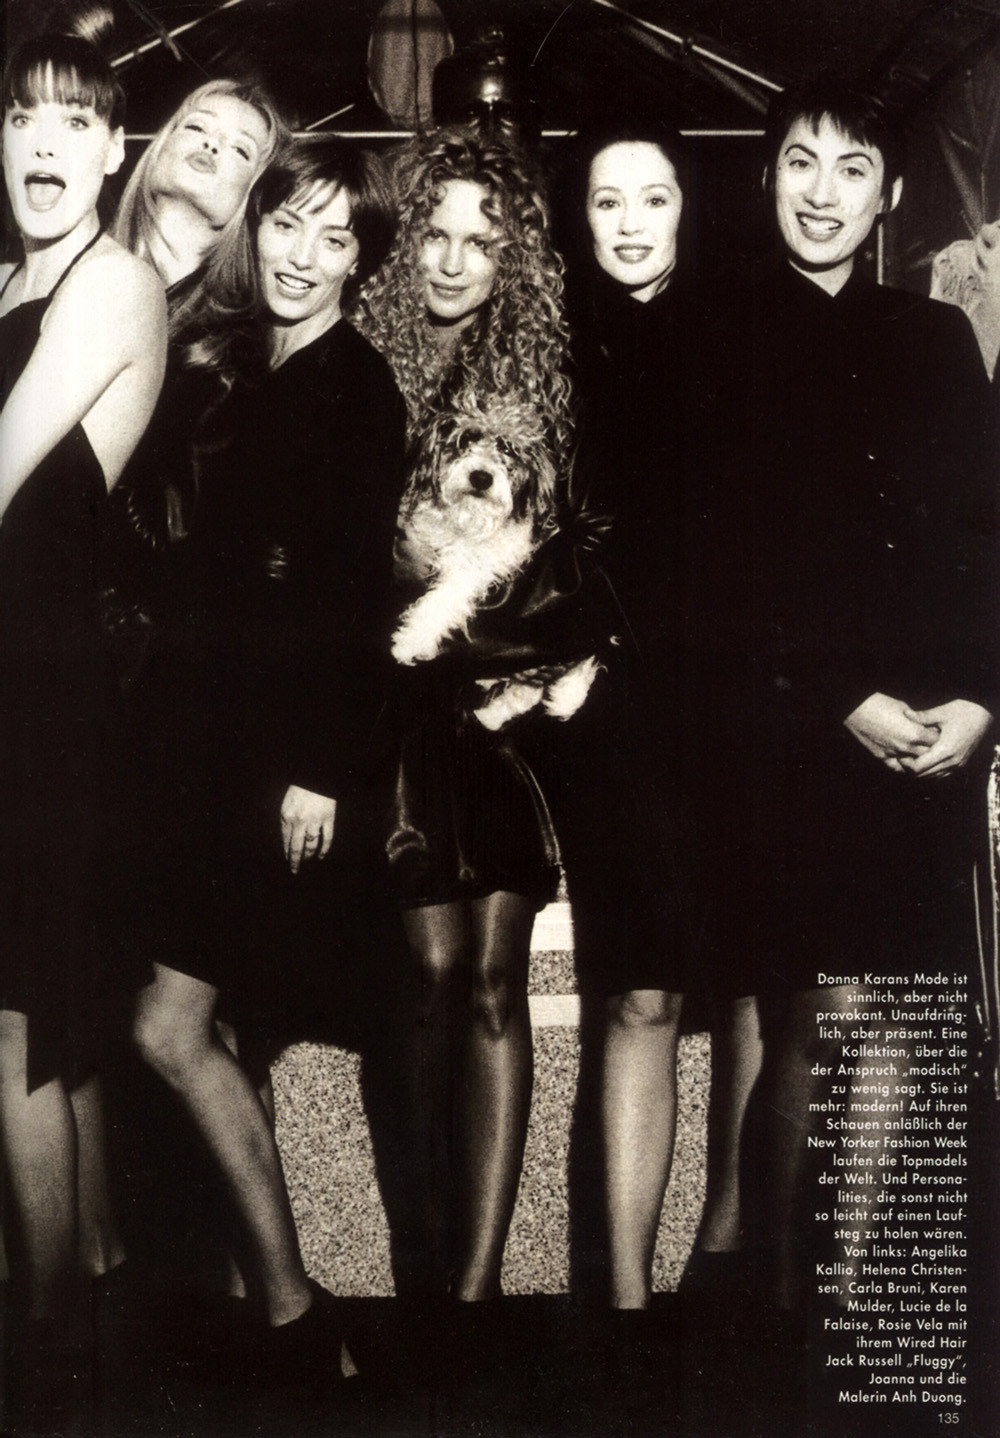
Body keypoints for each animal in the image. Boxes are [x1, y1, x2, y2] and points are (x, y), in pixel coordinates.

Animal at [392, 396, 599, 730]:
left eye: (509, 449)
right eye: (466, 440)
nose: (481, 477)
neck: (468, 519)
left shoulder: (478, 568)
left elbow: (442, 600)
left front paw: (410, 641)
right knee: (525, 692)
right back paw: (490, 714)